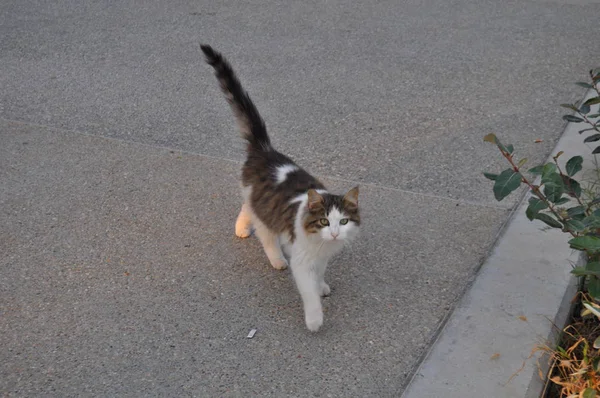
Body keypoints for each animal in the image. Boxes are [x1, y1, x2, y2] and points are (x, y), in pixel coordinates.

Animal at [202, 44, 360, 332]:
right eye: (324, 221)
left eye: (343, 221)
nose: (334, 234)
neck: (321, 245)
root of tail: (265, 151)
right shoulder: (302, 260)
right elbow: (308, 292)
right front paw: (315, 320)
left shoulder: (321, 258)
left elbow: (319, 276)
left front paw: (322, 285)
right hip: (267, 218)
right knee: (266, 236)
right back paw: (275, 259)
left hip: (255, 198)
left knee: (247, 207)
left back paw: (241, 228)